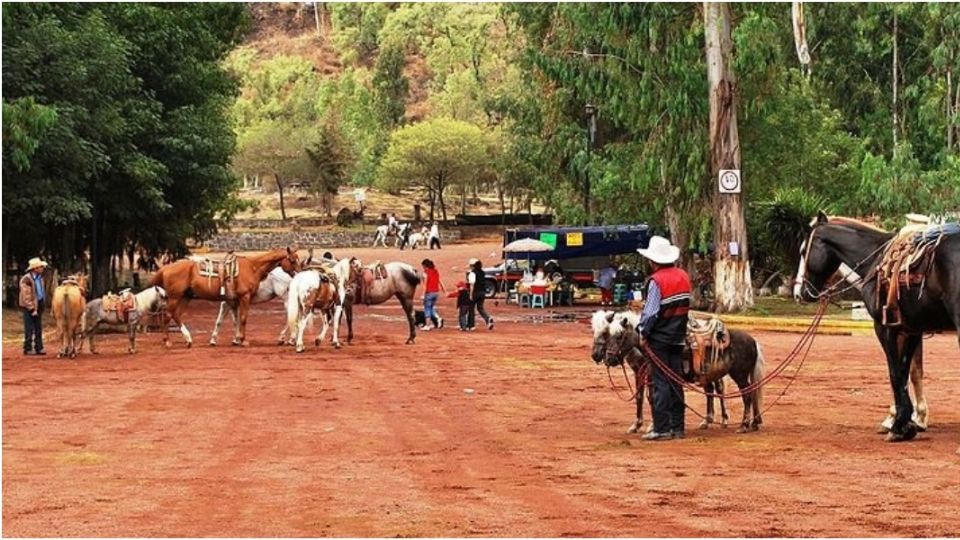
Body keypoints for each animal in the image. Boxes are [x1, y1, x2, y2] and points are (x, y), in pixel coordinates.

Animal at [149, 248, 300, 348]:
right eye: (292, 260)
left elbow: (233, 320)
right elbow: (240, 319)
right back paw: (168, 341)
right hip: (176, 298)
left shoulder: (233, 301)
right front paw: (241, 340)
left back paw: (187, 339)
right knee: (169, 315)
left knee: (176, 315)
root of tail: (166, 268)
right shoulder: (242, 298)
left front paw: (235, 339)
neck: (253, 267)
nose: (299, 273)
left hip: (185, 297)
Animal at [796, 213, 960, 446]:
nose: (800, 293)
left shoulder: (885, 328)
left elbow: (895, 373)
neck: (875, 260)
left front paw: (900, 425)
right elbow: (907, 372)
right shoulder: (910, 328)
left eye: (803, 251)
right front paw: (906, 421)